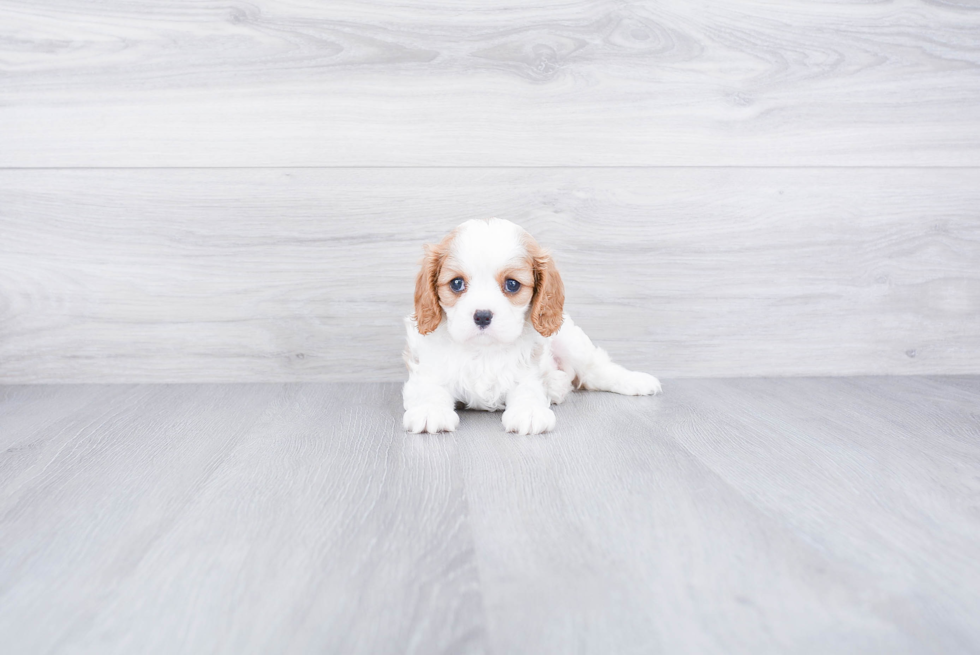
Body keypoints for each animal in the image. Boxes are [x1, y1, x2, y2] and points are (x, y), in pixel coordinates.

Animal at [402, 218, 664, 438]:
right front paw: (430, 410)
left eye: (512, 284)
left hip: (570, 340)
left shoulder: (527, 370)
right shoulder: (428, 368)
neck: (484, 350)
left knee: (595, 370)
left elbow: (528, 389)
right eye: (456, 283)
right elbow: (429, 388)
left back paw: (636, 381)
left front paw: (528, 412)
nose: (483, 316)